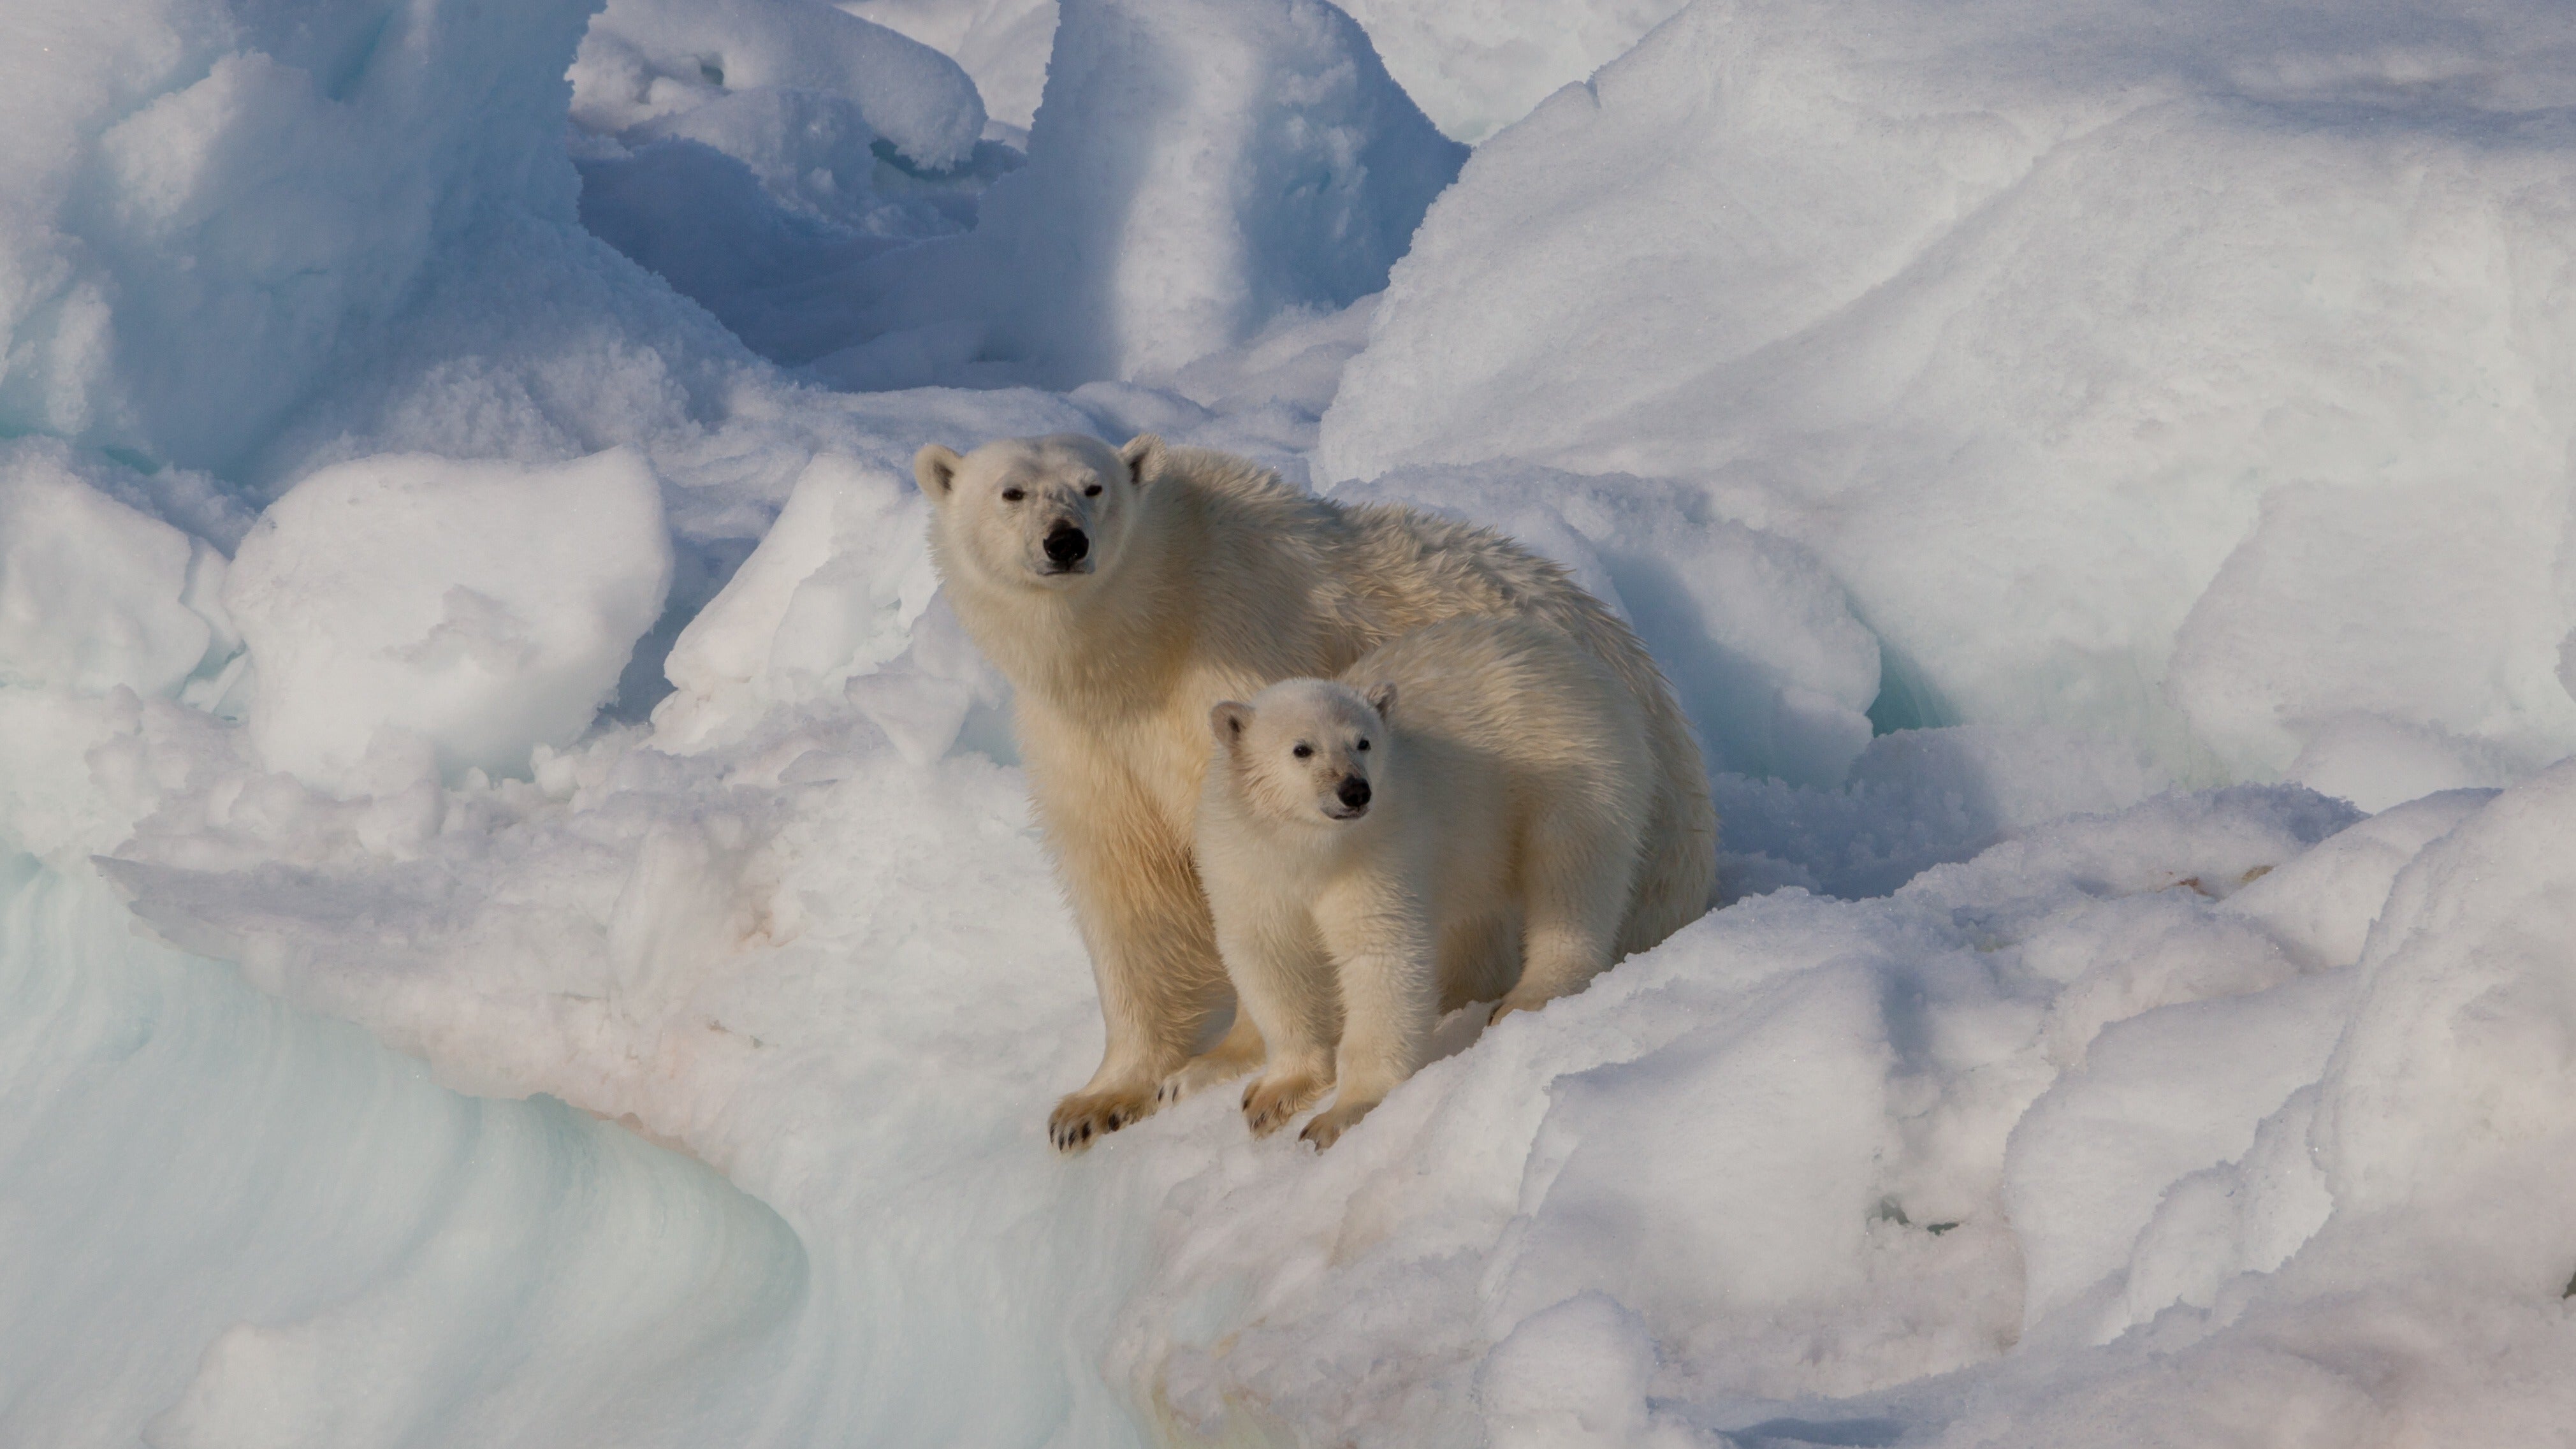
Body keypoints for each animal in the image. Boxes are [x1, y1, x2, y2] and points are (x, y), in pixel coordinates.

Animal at [1198, 616, 1656, 1149]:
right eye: (1301, 749)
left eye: (1364, 741)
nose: (1354, 790)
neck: (1309, 852)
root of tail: (1586, 664)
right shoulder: (1244, 869)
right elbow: (1272, 962)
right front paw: (1270, 1098)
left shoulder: (1377, 852)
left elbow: (1380, 958)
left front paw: (1338, 1115)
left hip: (1573, 767)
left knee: (1571, 875)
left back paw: (1529, 994)